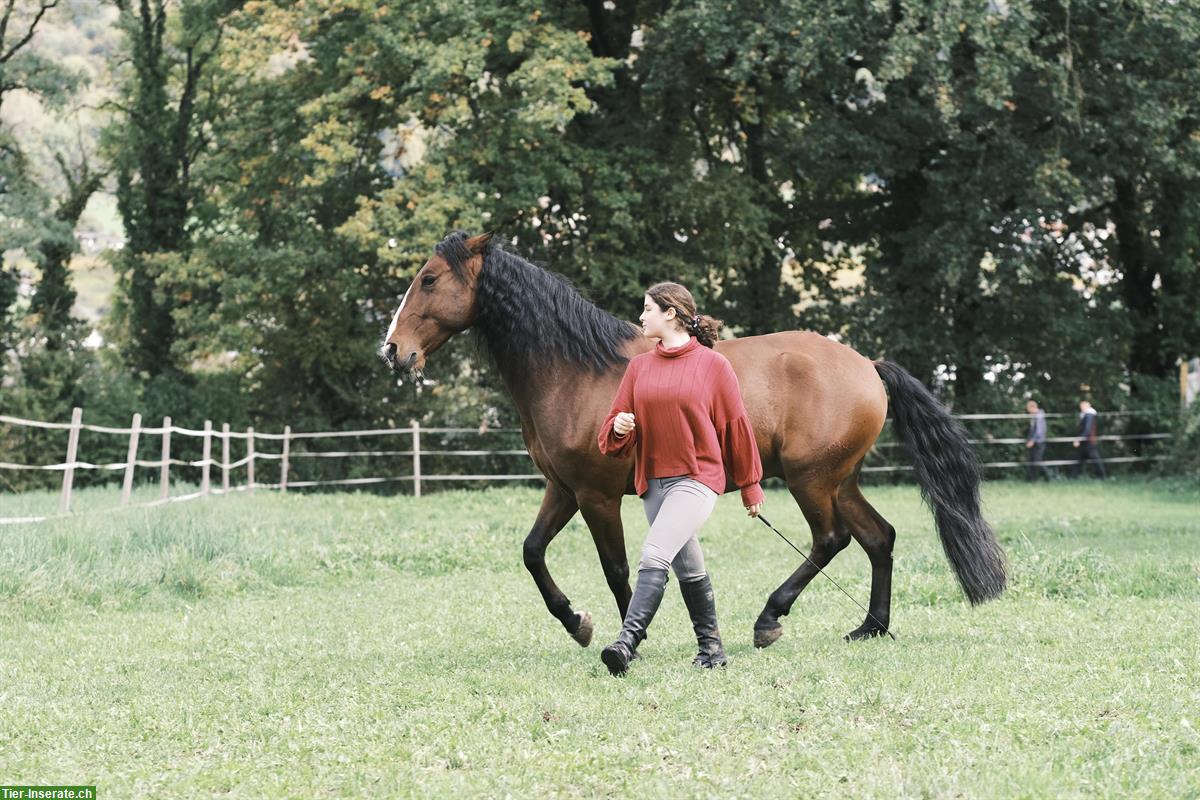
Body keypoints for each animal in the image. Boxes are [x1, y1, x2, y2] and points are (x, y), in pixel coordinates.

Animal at [381, 227, 1003, 647]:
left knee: (832, 540)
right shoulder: (564, 489)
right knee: (879, 538)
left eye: (429, 279)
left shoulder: (597, 496)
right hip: (839, 480)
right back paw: (869, 628)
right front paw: (578, 622)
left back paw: (770, 619)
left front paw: (632, 637)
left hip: (812, 481)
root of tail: (868, 366)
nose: (393, 350)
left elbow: (617, 568)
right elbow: (533, 553)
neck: (576, 368)